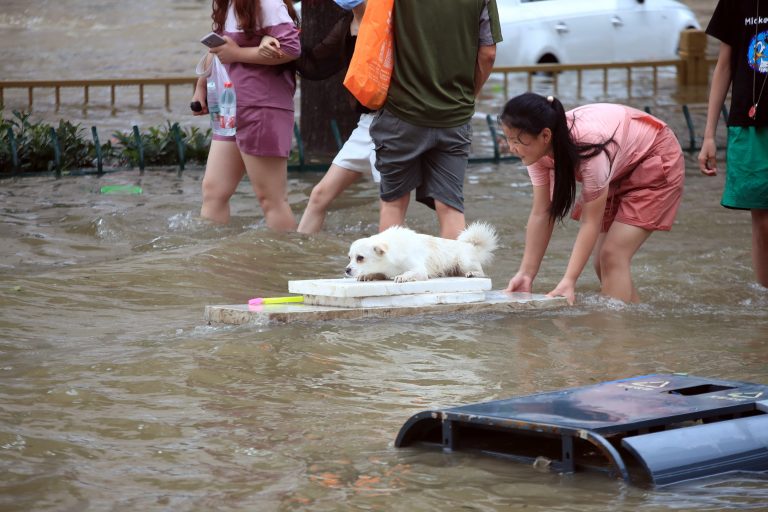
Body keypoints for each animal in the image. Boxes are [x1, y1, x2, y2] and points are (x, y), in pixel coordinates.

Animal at [344, 221, 498, 284]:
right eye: (349, 258)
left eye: (360, 258)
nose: (346, 270)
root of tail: (470, 245)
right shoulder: (385, 271)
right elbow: (377, 273)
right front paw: (368, 275)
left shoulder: (420, 270)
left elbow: (409, 273)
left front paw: (403, 277)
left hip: (464, 262)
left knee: (482, 273)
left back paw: (473, 273)